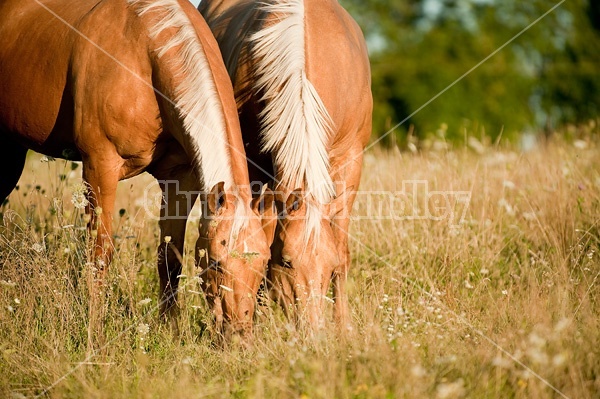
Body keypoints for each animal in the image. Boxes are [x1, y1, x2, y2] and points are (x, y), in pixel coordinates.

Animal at [0, 0, 270, 338]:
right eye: (218, 263)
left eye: (263, 264)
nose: (239, 337)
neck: (144, 58)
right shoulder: (99, 167)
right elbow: (99, 254)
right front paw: (94, 331)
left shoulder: (181, 178)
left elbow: (170, 257)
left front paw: (169, 329)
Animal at [199, 0, 372, 330]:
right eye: (287, 261)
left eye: (328, 265)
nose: (314, 330)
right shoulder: (253, 167)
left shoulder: (351, 163)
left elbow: (343, 249)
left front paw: (344, 327)